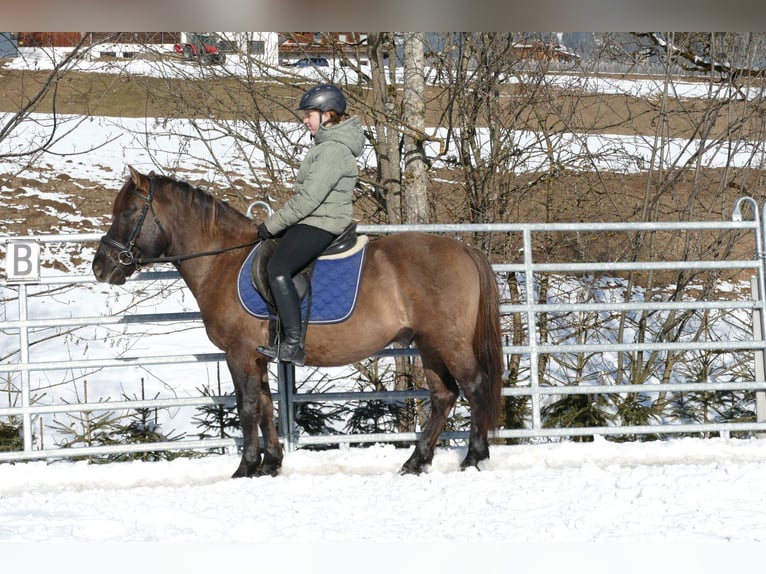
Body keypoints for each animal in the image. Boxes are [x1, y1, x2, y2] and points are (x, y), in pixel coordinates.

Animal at [93, 168, 508, 482]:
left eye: (129, 212)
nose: (101, 267)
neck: (223, 261)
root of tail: (463, 249)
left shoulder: (239, 354)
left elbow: (247, 406)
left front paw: (246, 467)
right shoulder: (257, 356)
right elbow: (264, 404)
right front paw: (271, 464)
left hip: (449, 341)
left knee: (474, 386)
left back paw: (474, 457)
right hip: (429, 344)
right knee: (444, 396)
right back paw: (416, 461)